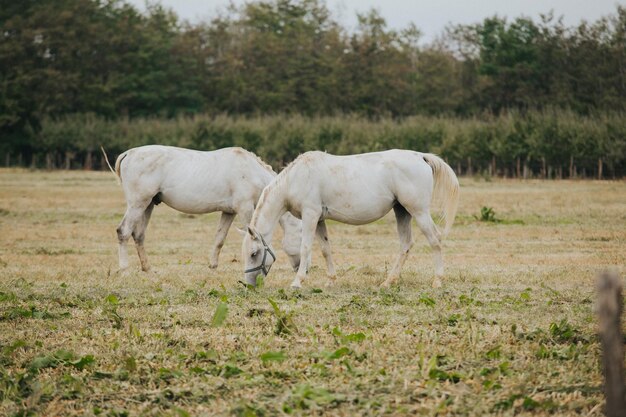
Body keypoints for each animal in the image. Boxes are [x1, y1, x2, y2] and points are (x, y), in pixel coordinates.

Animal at [103, 145, 302, 272]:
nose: (300, 267)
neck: (251, 172)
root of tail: (129, 153)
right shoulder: (245, 209)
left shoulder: (229, 212)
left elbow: (219, 239)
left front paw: (212, 265)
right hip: (138, 204)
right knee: (123, 231)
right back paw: (124, 268)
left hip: (148, 205)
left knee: (138, 235)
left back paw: (147, 268)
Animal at [241, 148, 456, 288]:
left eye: (254, 253)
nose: (248, 284)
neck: (295, 178)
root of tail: (420, 156)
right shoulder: (319, 219)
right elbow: (325, 249)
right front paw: (331, 281)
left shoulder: (310, 215)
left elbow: (305, 248)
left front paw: (297, 282)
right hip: (402, 211)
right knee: (406, 244)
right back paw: (388, 282)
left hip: (418, 211)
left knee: (435, 239)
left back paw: (437, 280)